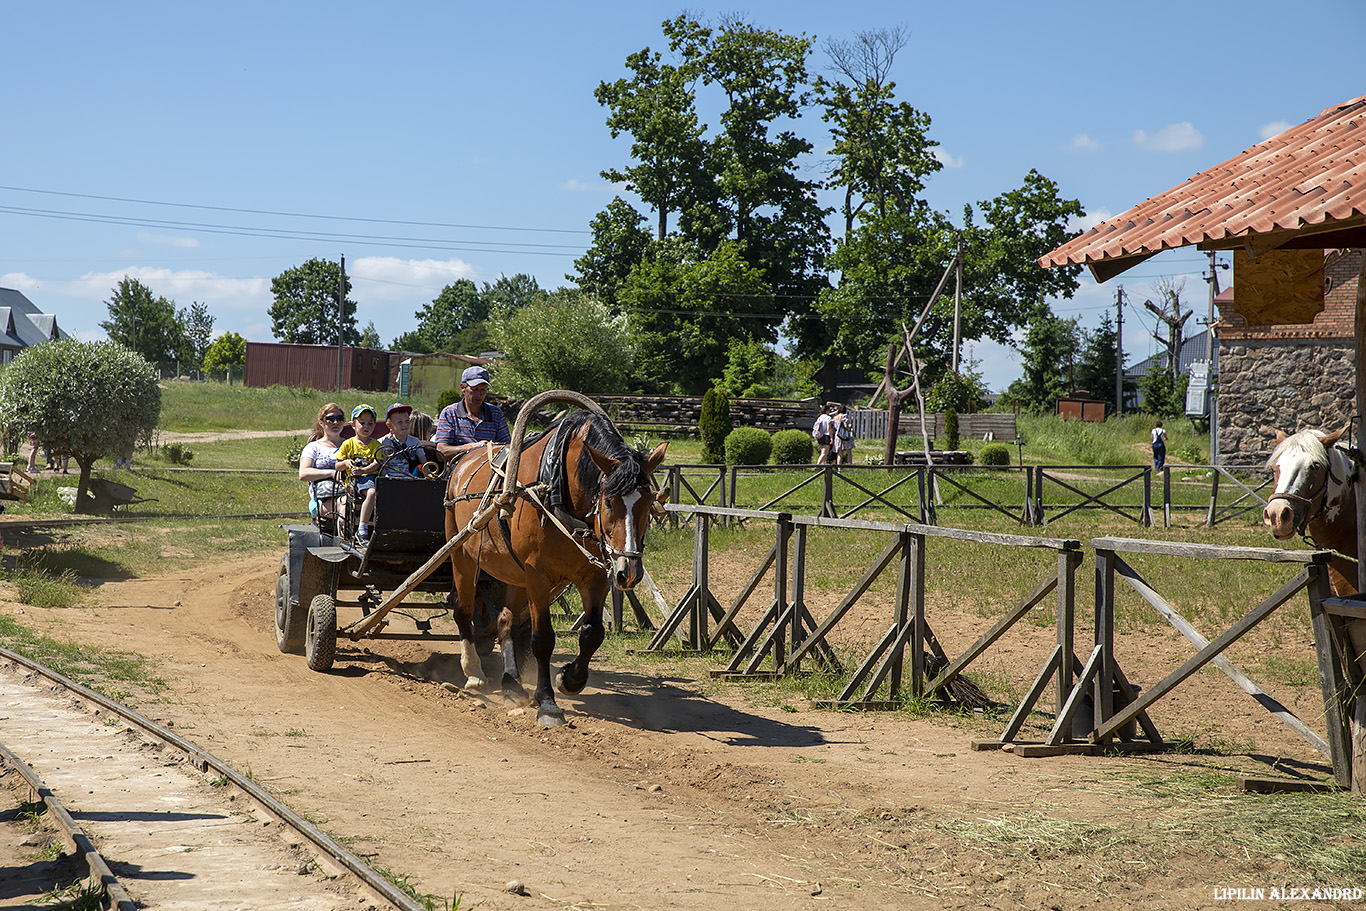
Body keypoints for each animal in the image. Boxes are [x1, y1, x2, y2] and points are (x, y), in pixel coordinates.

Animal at [442, 409, 666, 732]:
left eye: (648, 504)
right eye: (609, 502)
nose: (630, 571)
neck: (557, 488)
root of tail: (462, 462)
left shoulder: (594, 575)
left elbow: (593, 633)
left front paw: (570, 679)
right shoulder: (537, 575)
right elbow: (542, 639)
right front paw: (547, 703)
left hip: (515, 573)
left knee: (505, 620)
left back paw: (512, 685)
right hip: (462, 555)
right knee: (463, 609)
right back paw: (473, 672)